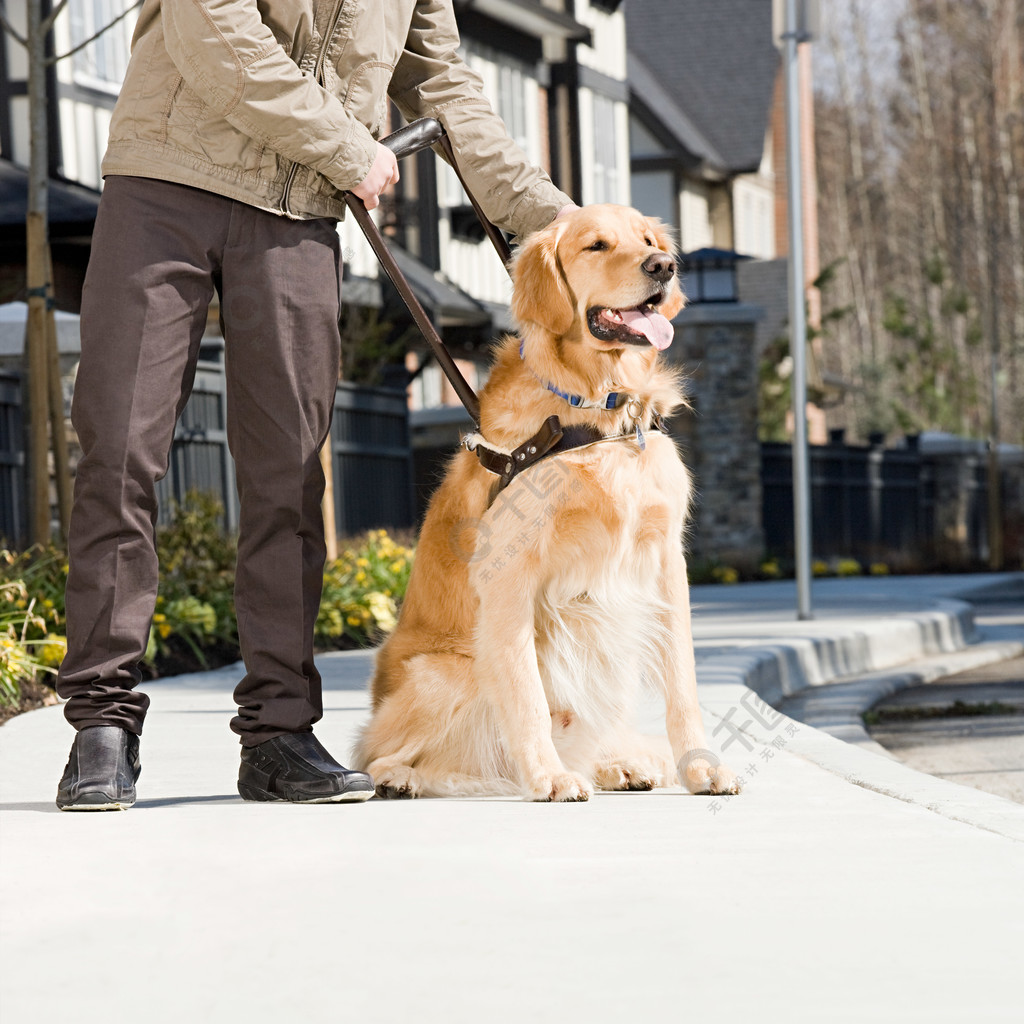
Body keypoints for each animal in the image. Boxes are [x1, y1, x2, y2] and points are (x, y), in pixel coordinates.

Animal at [352, 203, 737, 798]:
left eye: (649, 241)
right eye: (596, 245)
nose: (663, 267)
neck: (598, 415)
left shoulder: (665, 560)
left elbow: (683, 683)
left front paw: (700, 767)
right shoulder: (510, 574)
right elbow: (525, 690)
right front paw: (549, 777)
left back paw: (618, 764)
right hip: (444, 673)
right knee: (380, 754)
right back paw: (405, 778)